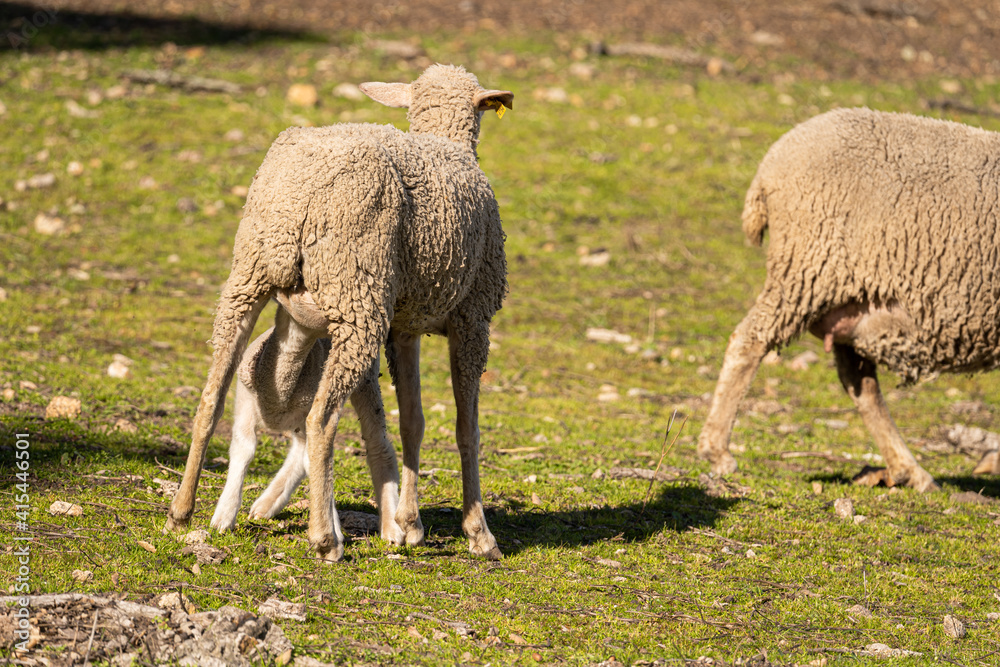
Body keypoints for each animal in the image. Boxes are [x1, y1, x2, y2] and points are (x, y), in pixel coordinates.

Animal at [166, 64, 513, 562]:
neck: (445, 141)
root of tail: (301, 195)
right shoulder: (473, 318)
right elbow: (467, 427)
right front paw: (478, 532)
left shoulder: (404, 327)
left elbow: (412, 421)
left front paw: (410, 523)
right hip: (357, 296)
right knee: (320, 419)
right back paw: (324, 539)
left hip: (248, 277)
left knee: (211, 397)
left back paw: (181, 512)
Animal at [697, 107, 1000, 491]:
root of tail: (771, 163)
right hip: (809, 268)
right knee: (750, 339)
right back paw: (717, 451)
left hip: (853, 305)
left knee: (861, 386)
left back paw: (909, 470)